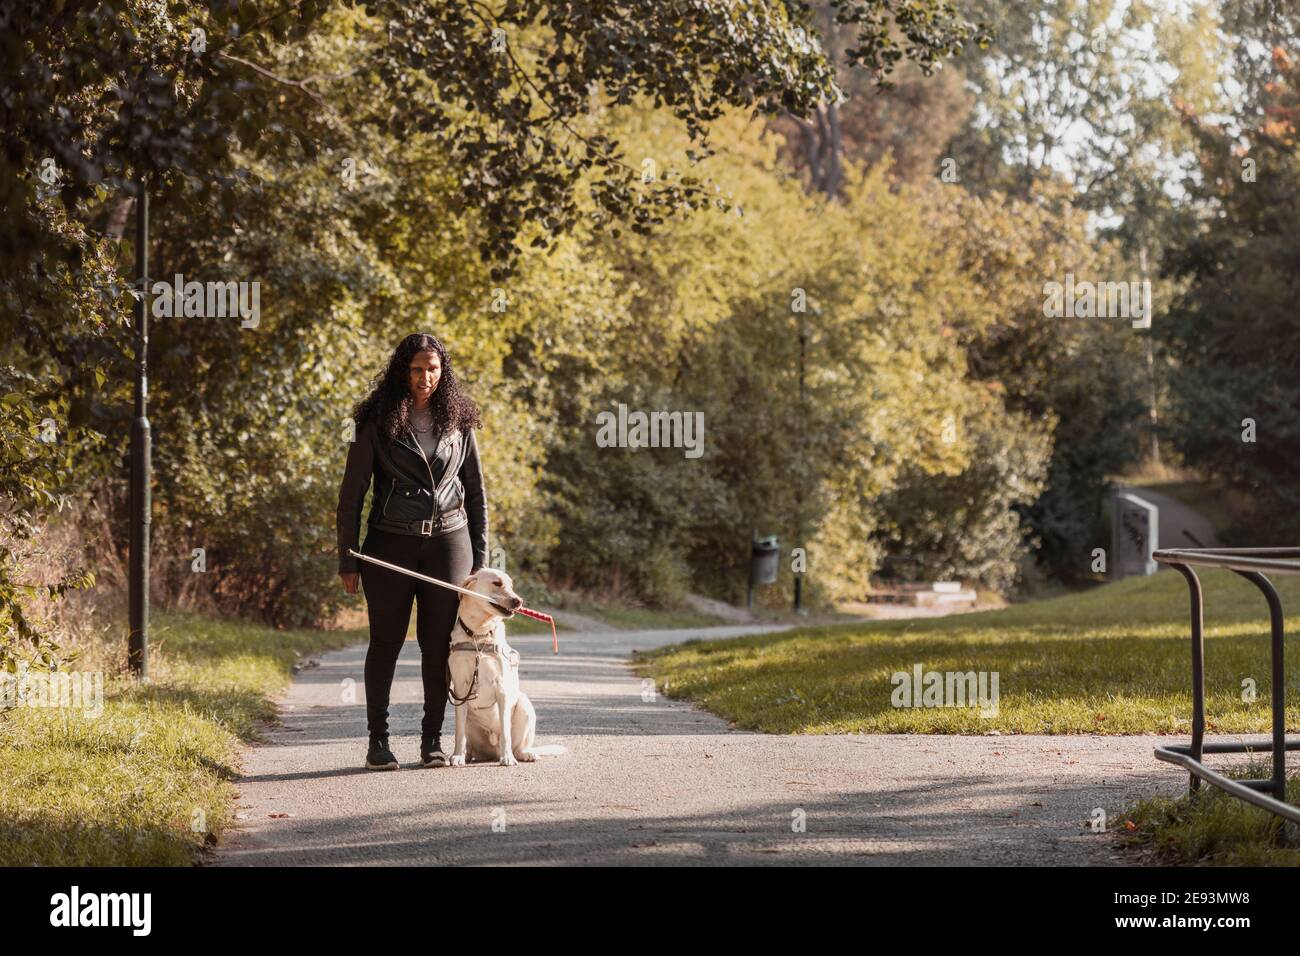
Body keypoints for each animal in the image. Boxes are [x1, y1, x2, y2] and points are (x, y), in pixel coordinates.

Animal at [447, 572, 548, 764]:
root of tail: (492, 753)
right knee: (469, 743)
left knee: (517, 746)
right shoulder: (461, 690)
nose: (519, 601)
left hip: (524, 705)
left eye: (511, 585)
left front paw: (507, 758)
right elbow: (459, 733)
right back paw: (466, 755)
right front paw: (457, 756)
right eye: (497, 583)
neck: (479, 635)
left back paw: (524, 754)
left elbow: (506, 732)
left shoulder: (502, 689)